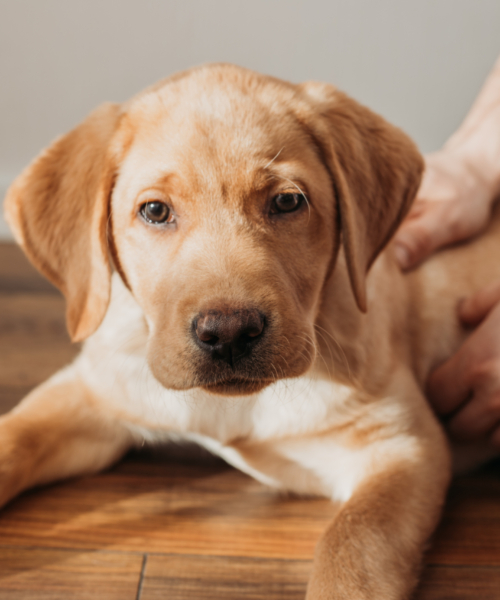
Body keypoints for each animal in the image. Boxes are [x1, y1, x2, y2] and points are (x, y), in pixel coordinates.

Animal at [3, 63, 500, 596]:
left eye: (286, 201)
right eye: (155, 211)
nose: (229, 334)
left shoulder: (401, 446)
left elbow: (352, 545)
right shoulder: (92, 390)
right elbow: (12, 437)